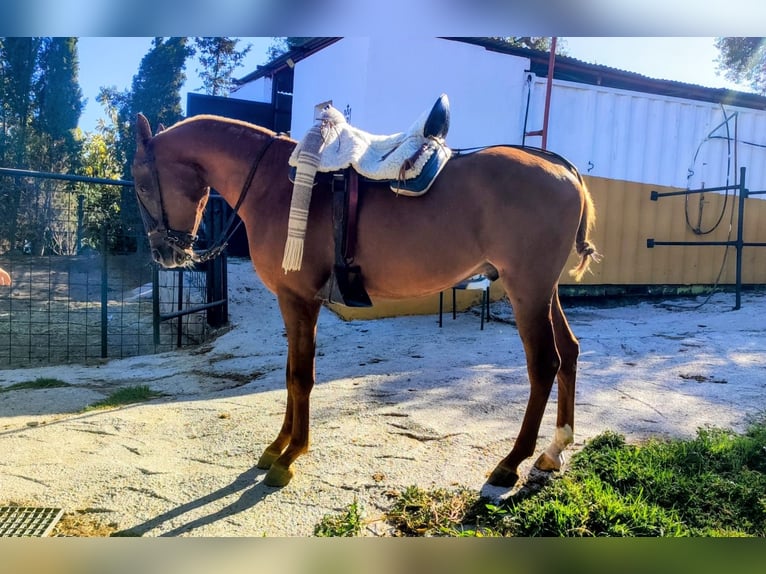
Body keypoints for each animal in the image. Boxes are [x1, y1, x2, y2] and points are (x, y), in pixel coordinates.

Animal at [131, 112, 600, 489]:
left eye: (140, 181)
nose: (163, 253)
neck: (274, 183)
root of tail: (565, 170)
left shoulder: (299, 299)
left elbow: (301, 377)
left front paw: (290, 456)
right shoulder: (294, 301)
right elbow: (290, 374)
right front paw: (277, 446)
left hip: (527, 291)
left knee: (545, 364)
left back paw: (511, 462)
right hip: (543, 292)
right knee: (570, 353)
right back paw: (554, 449)